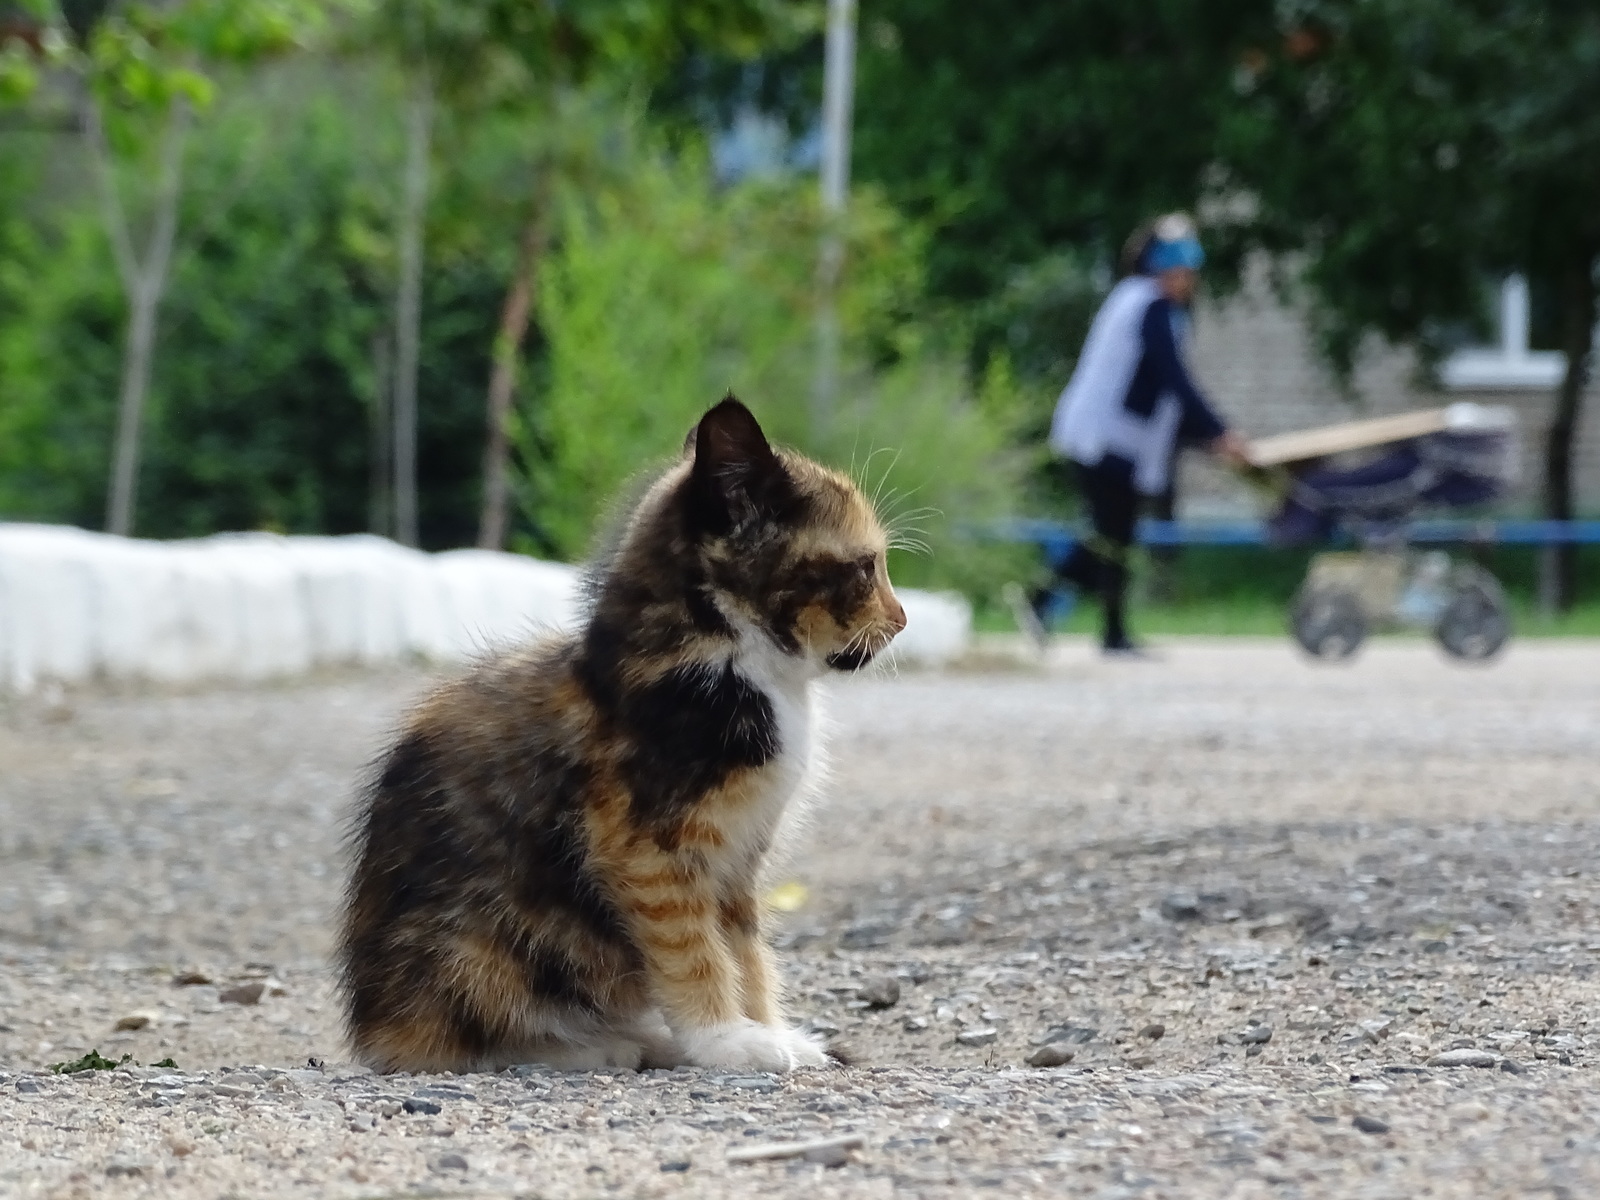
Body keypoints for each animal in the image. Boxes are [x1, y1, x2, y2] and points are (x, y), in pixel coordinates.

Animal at [339, 400, 908, 1075]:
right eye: (865, 568)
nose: (901, 621)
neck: (739, 663)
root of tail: (374, 1026)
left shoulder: (739, 856)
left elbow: (744, 946)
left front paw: (767, 1028)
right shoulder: (644, 846)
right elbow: (693, 946)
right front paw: (725, 1038)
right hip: (476, 948)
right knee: (460, 1038)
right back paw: (598, 1045)